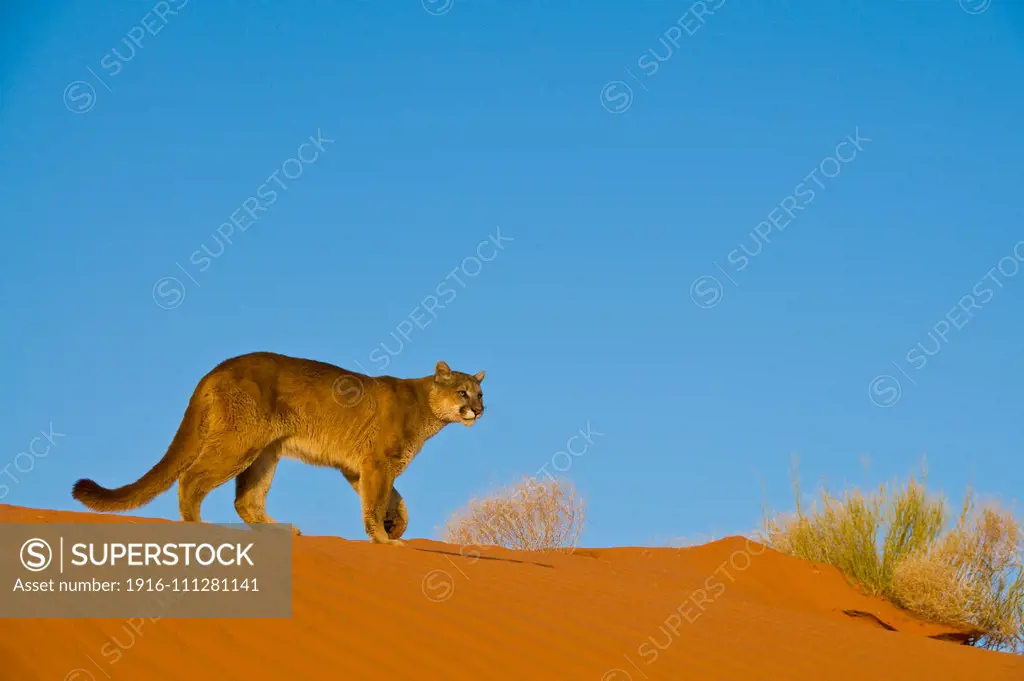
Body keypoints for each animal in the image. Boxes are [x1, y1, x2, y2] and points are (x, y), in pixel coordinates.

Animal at [73, 352, 487, 544]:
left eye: (480, 393)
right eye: (461, 392)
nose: (479, 410)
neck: (426, 407)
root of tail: (217, 368)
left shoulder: (358, 467)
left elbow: (395, 500)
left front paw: (394, 527)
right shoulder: (377, 463)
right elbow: (377, 501)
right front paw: (385, 538)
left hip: (265, 452)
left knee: (246, 500)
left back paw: (283, 531)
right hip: (240, 443)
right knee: (191, 479)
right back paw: (197, 527)